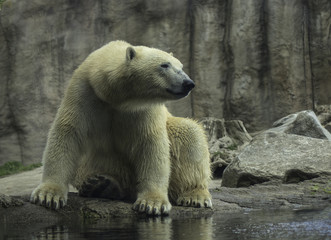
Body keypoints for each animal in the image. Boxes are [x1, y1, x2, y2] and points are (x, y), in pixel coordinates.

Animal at [31, 39, 213, 216]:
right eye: (164, 65)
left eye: (181, 67)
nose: (188, 83)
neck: (115, 97)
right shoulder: (84, 90)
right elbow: (68, 132)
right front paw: (48, 195)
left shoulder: (144, 108)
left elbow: (151, 144)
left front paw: (152, 203)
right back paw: (101, 185)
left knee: (189, 133)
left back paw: (194, 195)